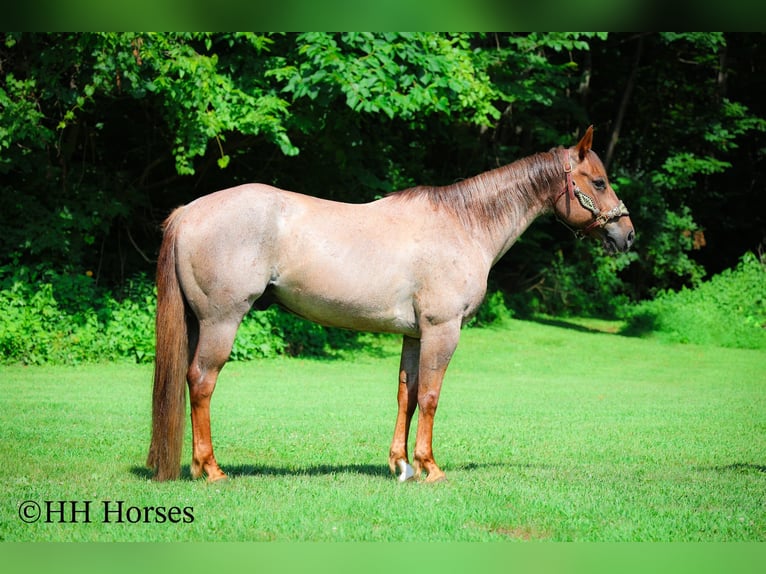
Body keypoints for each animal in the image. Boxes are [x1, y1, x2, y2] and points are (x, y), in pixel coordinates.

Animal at [146, 126, 634, 483]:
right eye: (598, 181)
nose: (627, 235)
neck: (464, 224)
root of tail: (189, 212)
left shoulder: (415, 335)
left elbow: (408, 395)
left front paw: (401, 465)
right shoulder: (442, 329)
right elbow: (432, 396)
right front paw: (430, 468)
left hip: (198, 322)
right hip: (221, 321)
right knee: (201, 382)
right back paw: (210, 470)